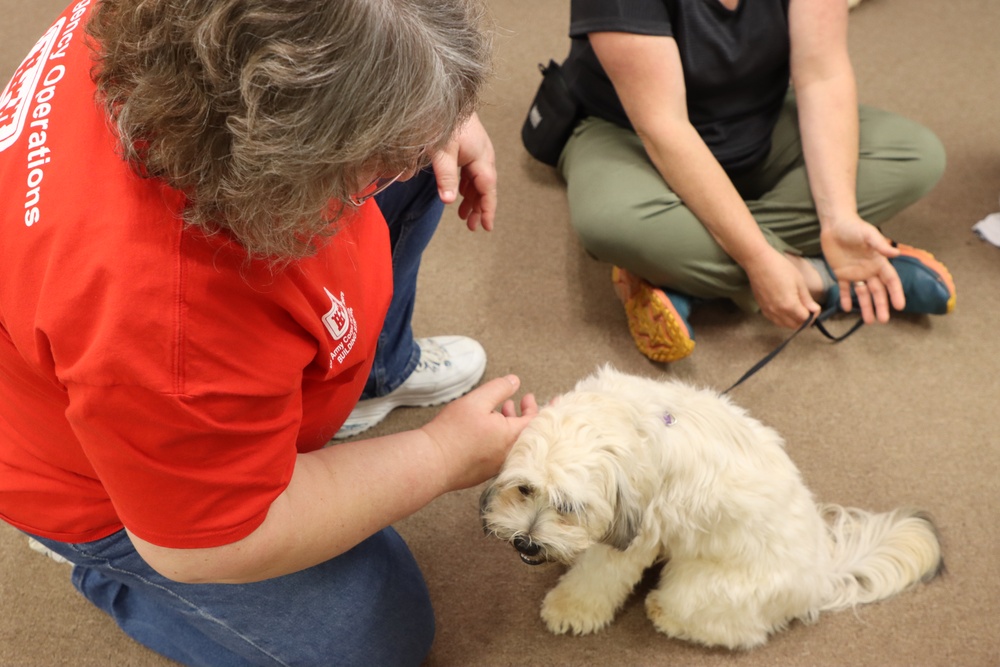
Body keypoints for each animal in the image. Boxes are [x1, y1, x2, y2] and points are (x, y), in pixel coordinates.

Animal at [480, 368, 940, 648]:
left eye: (568, 506)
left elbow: (597, 578)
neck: (629, 423)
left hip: (699, 587)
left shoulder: (636, 538)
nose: (527, 543)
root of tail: (822, 572)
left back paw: (664, 614)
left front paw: (569, 608)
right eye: (524, 489)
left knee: (740, 631)